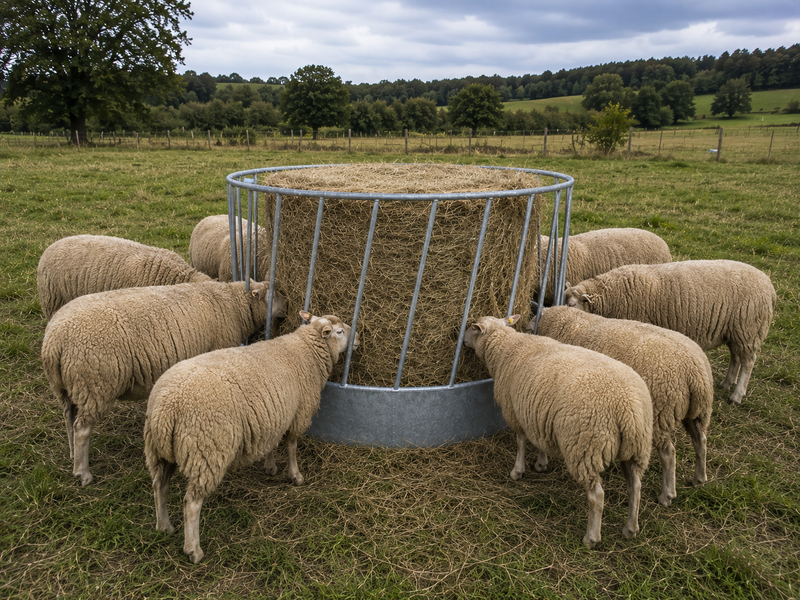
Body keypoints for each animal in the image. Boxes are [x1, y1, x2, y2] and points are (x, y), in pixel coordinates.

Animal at [41, 280, 286, 486]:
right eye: (273, 295)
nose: (287, 304)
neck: (234, 305)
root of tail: (54, 340)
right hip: (95, 384)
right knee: (82, 428)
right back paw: (83, 473)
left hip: (68, 386)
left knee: (69, 417)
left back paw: (73, 454)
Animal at [144, 311, 358, 564]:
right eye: (340, 332)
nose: (357, 338)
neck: (304, 349)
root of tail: (166, 406)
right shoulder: (299, 412)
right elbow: (292, 446)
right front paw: (295, 476)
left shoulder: (273, 415)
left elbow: (272, 442)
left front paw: (270, 466)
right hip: (206, 452)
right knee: (192, 504)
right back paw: (194, 550)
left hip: (159, 451)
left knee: (159, 486)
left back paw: (164, 526)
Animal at [465, 314, 652, 548]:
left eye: (473, 328)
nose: (462, 340)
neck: (507, 346)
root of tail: (629, 409)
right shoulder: (537, 413)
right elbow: (539, 440)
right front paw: (541, 463)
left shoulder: (514, 411)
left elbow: (521, 442)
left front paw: (518, 471)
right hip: (636, 448)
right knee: (635, 486)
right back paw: (630, 529)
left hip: (585, 447)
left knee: (597, 495)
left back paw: (591, 538)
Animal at [530, 306, 713, 507]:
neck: (570, 323)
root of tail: (694, 370)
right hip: (697, 411)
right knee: (700, 439)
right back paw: (699, 479)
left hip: (661, 414)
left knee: (669, 453)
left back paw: (667, 495)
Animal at [563, 259, 777, 404]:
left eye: (572, 305)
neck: (613, 293)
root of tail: (769, 286)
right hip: (735, 331)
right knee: (735, 357)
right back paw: (726, 382)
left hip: (749, 327)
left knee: (748, 361)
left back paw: (737, 394)